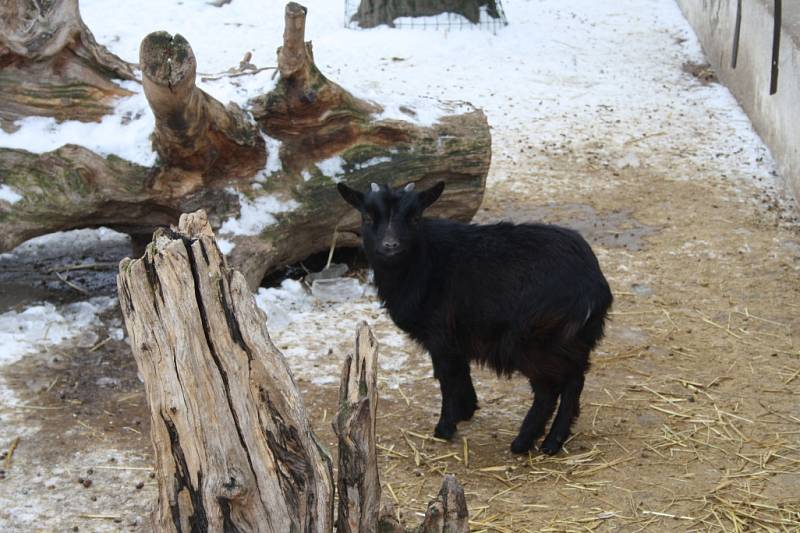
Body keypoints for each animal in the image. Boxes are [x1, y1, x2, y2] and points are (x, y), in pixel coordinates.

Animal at [338, 180, 612, 454]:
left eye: (415, 217)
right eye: (367, 216)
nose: (390, 246)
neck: (423, 263)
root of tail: (593, 285)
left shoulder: (440, 335)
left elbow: (447, 377)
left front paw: (445, 427)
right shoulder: (457, 336)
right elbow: (461, 372)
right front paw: (467, 410)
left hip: (532, 341)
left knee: (549, 389)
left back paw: (526, 442)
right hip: (573, 340)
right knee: (574, 379)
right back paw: (553, 440)